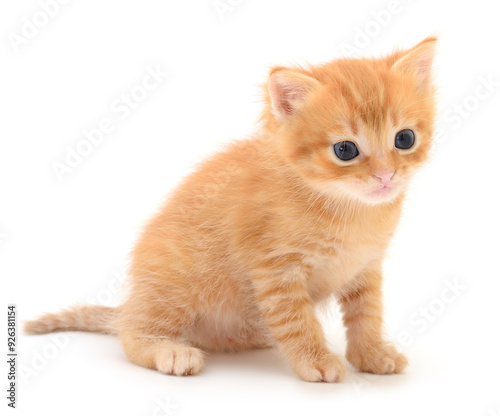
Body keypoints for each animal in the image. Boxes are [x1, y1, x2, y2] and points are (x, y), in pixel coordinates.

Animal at [25, 37, 436, 382]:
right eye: (345, 150)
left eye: (404, 139)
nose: (385, 175)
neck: (350, 210)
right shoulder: (276, 271)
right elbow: (297, 320)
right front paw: (315, 360)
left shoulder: (366, 266)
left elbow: (367, 314)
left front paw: (372, 355)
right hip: (175, 285)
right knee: (131, 330)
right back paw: (168, 350)